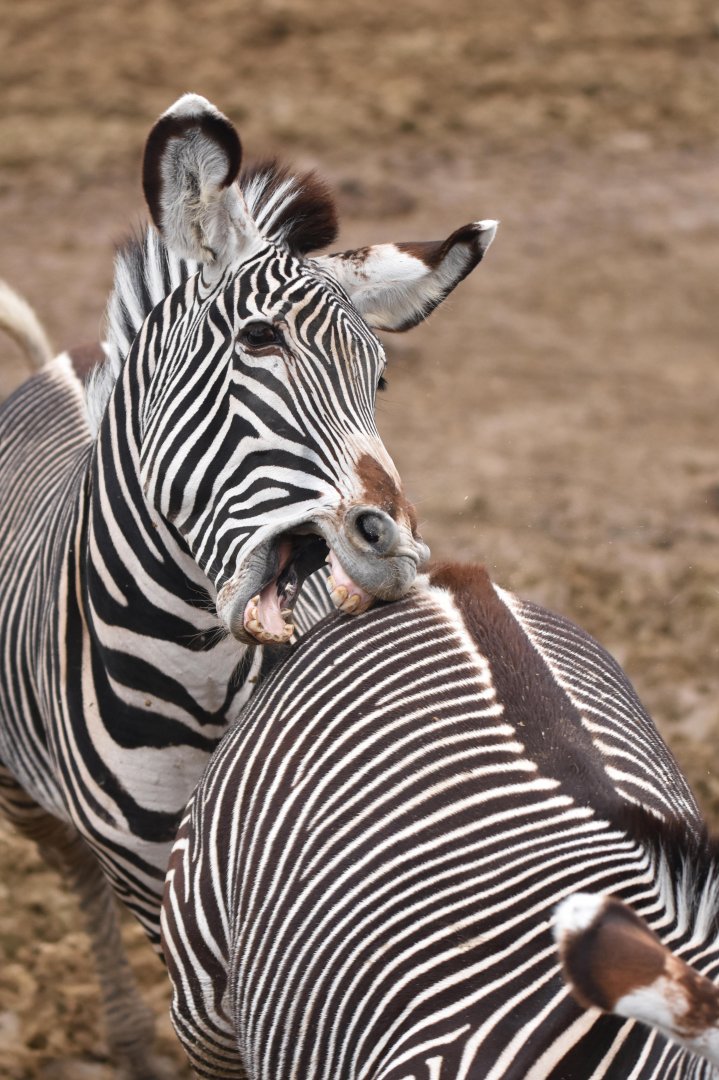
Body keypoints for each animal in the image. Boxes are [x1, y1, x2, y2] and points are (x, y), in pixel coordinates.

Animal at [0, 94, 497, 1077]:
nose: (394, 546)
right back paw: (127, 1037)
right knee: (70, 867)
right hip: (21, 789)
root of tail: (62, 358)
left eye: (379, 378)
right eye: (258, 340)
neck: (197, 682)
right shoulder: (156, 878)